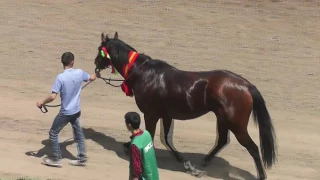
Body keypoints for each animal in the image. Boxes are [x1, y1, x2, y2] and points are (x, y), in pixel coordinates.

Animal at [94, 31, 276, 179]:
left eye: (99, 49)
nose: (95, 63)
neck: (144, 74)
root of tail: (245, 85)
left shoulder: (151, 114)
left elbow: (151, 135)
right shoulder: (166, 115)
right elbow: (166, 139)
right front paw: (184, 162)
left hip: (236, 124)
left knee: (253, 148)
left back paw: (261, 175)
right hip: (222, 119)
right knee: (222, 140)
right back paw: (204, 162)